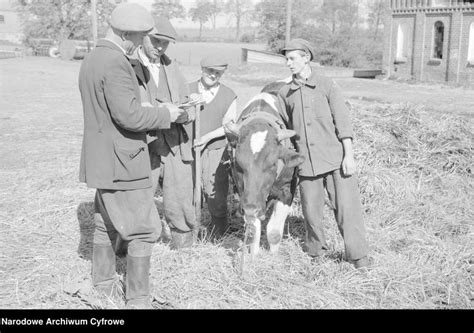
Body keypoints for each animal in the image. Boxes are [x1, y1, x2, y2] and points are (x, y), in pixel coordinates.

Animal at [225, 80, 306, 256]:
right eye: (238, 164)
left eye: (272, 164)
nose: (251, 208)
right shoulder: (246, 197)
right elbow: (253, 231)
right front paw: (254, 255)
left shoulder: (286, 190)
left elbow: (274, 232)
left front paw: (273, 257)